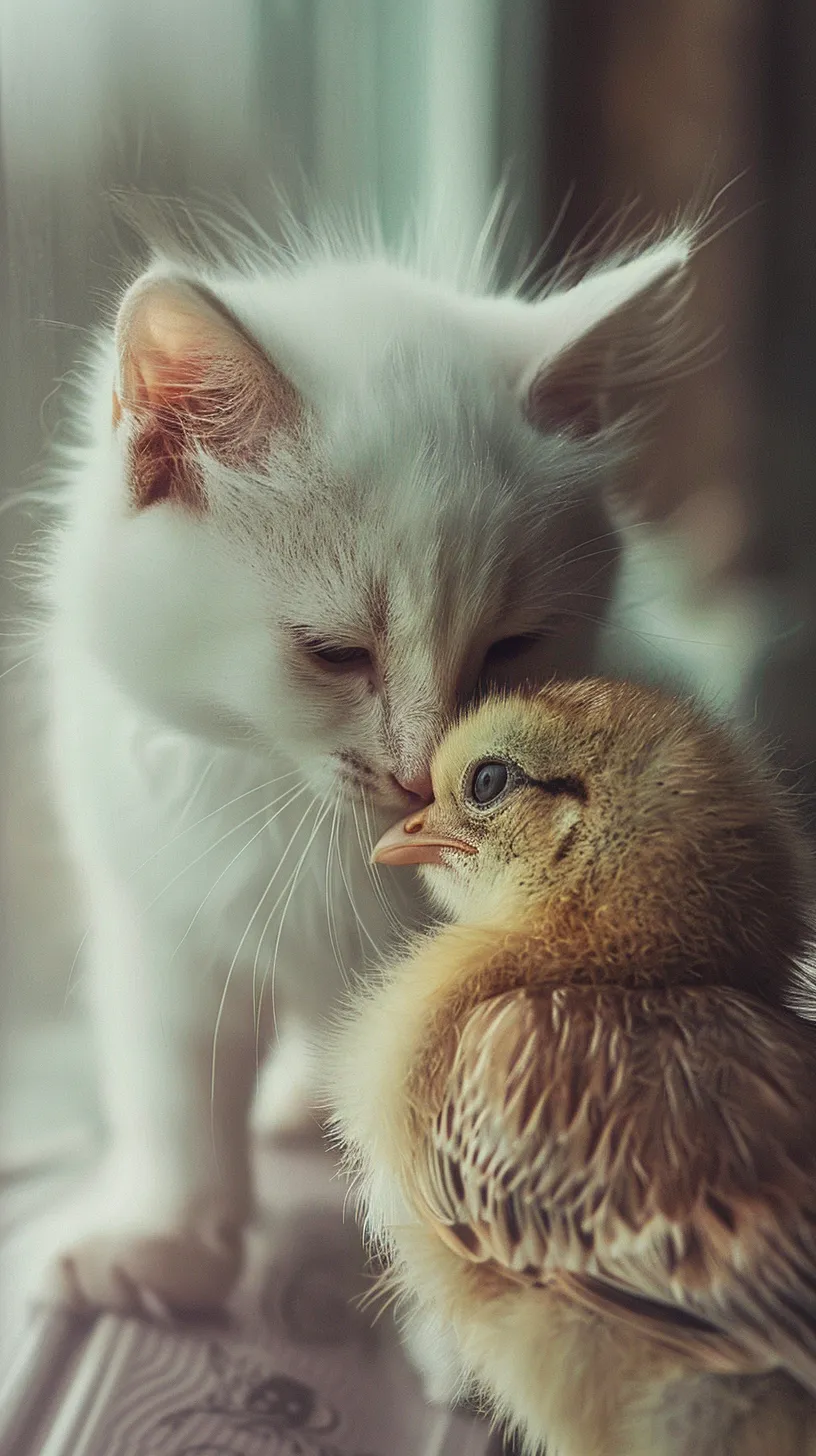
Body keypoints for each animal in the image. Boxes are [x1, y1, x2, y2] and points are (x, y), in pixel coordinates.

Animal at [39, 218, 702, 1322]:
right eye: (333, 652)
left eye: (509, 648)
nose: (424, 777)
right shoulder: (166, 920)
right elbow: (176, 1093)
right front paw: (164, 1240)